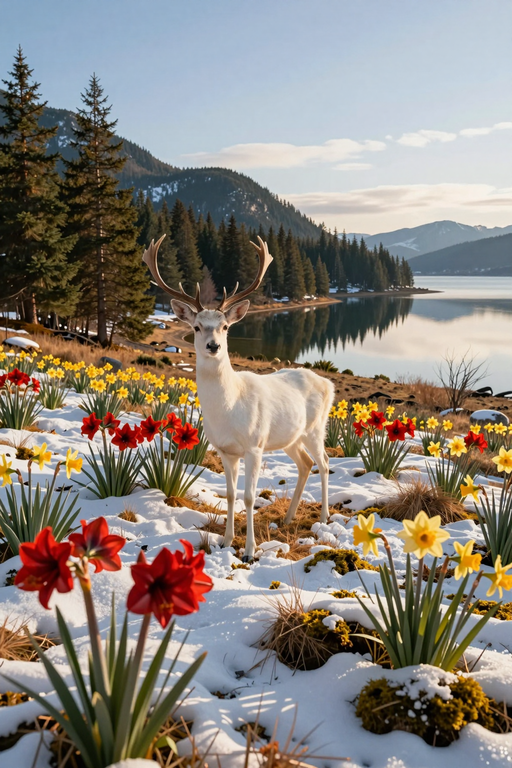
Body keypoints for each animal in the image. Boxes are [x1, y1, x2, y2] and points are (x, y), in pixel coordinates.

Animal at [143, 235, 334, 560]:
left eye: (225, 326)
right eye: (196, 326)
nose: (213, 345)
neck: (228, 410)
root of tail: (328, 383)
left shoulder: (254, 445)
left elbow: (248, 496)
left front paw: (249, 550)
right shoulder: (225, 450)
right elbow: (231, 495)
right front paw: (226, 541)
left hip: (315, 428)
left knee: (324, 462)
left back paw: (323, 517)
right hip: (290, 437)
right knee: (305, 464)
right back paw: (287, 517)